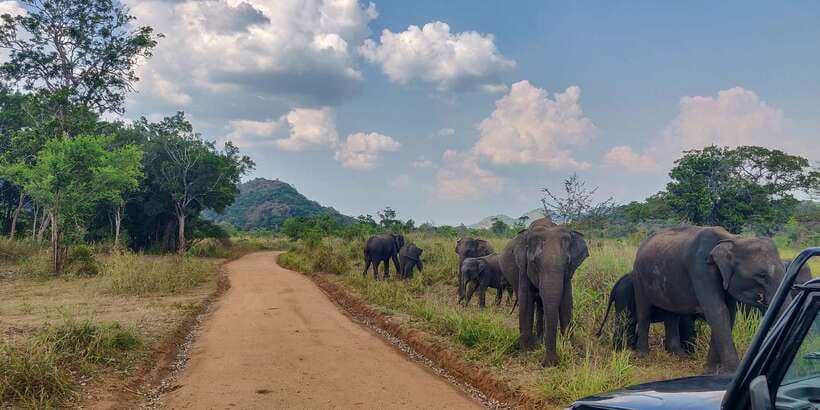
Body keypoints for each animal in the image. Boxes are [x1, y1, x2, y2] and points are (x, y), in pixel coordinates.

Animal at [510, 224, 588, 367]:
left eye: (568, 262)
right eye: (535, 262)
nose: (547, 363)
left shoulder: (568, 276)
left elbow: (566, 303)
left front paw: (569, 349)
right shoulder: (523, 268)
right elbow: (526, 302)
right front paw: (526, 352)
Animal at [632, 226, 786, 373]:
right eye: (762, 275)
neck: (733, 239)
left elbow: (728, 313)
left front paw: (711, 370)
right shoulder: (701, 270)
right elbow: (717, 311)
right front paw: (730, 372)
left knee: (672, 314)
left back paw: (679, 355)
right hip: (639, 277)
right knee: (644, 312)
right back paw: (642, 355)